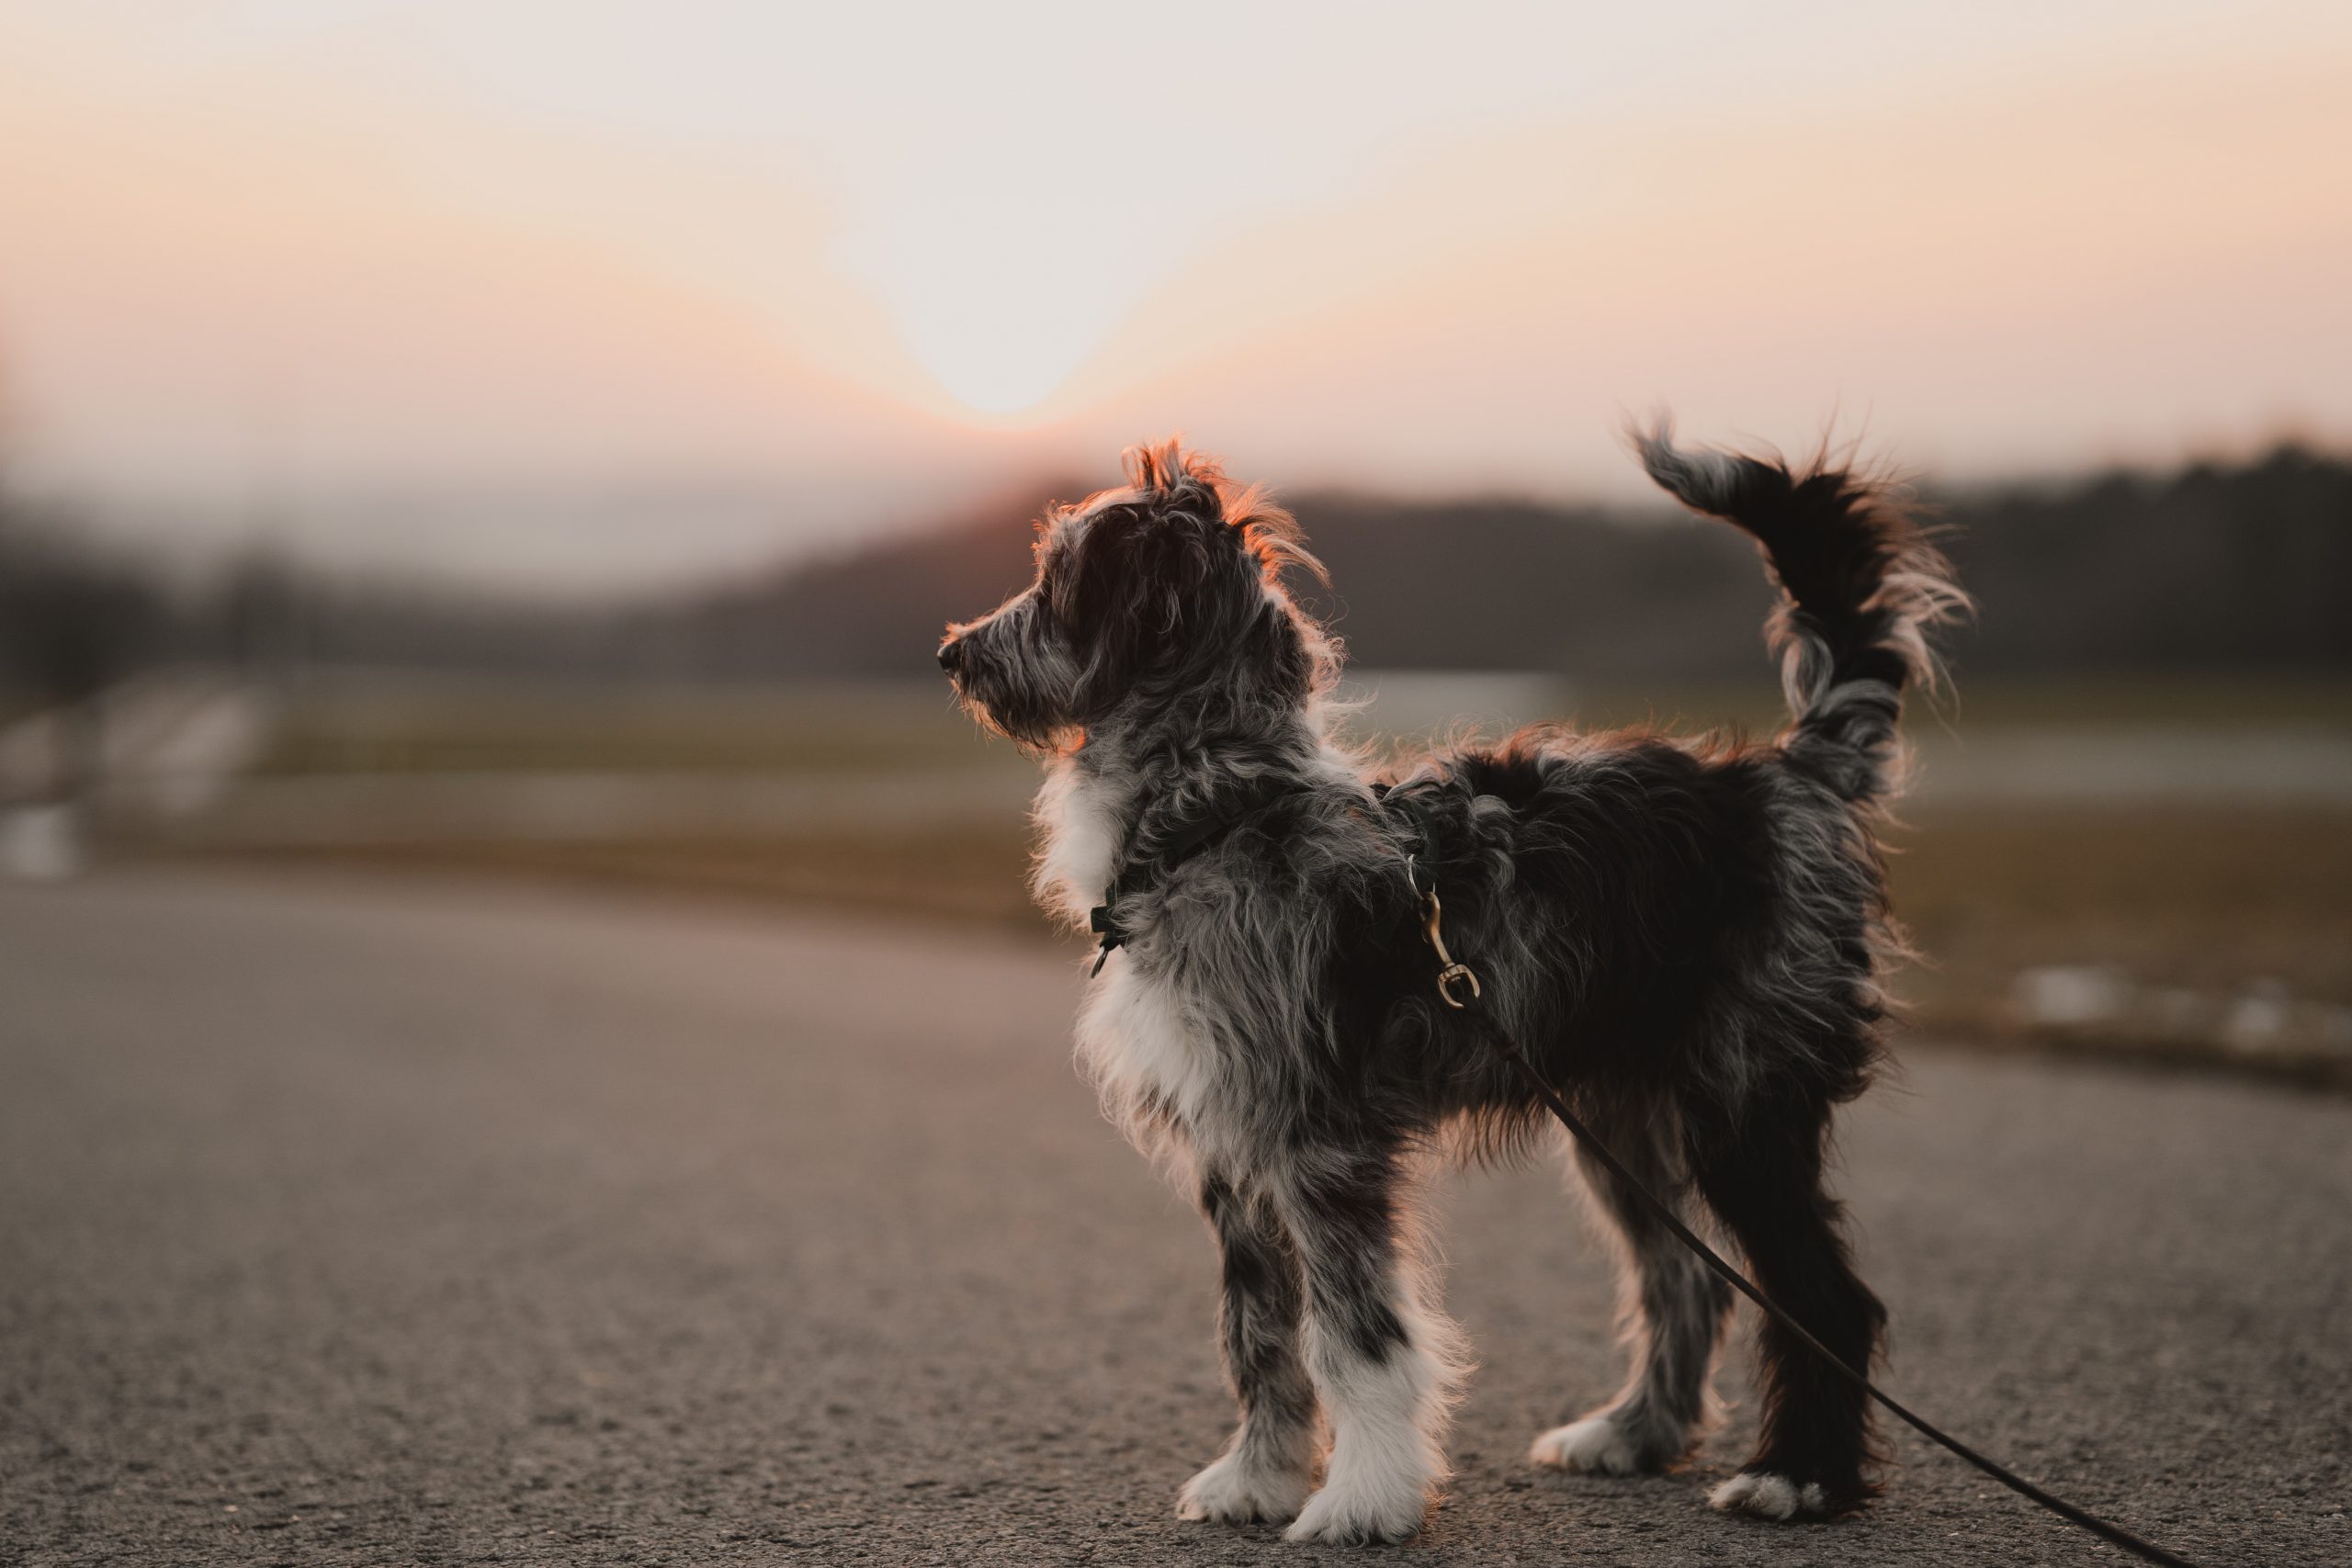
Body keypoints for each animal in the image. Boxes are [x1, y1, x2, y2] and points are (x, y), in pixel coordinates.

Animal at [935, 425, 1966, 1541]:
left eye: (1058, 581)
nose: (952, 651)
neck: (1217, 811)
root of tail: (1785, 775)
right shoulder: (1233, 1149)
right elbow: (1257, 1334)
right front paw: (1258, 1479)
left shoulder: (1320, 1145)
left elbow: (1356, 1338)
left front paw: (1364, 1497)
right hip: (1625, 1121)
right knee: (1687, 1282)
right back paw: (1633, 1434)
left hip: (1746, 1104)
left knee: (1824, 1301)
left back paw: (1798, 1478)